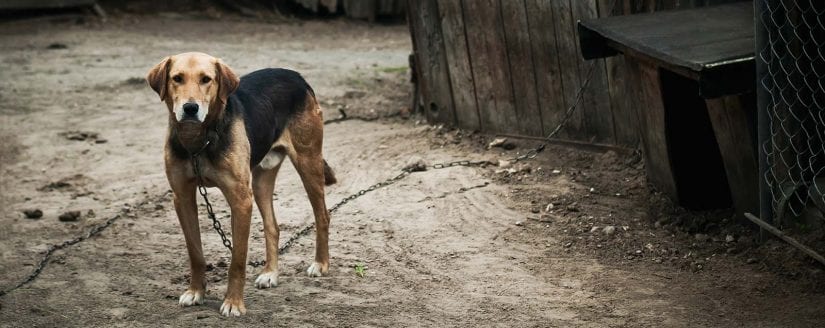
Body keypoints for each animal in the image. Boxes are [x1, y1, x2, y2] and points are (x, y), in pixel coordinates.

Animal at [146, 52, 334, 316]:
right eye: (177, 78)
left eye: (206, 79)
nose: (190, 108)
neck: (199, 141)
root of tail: (296, 76)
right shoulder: (182, 197)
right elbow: (195, 253)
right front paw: (196, 292)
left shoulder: (240, 199)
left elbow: (238, 259)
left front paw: (234, 303)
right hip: (261, 180)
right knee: (273, 226)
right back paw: (270, 273)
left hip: (308, 163)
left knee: (322, 216)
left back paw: (320, 264)